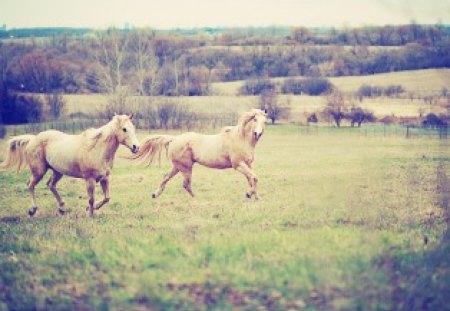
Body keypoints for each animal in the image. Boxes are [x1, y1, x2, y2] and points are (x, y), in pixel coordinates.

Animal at [0, 114, 140, 217]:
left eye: (133, 128)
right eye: (124, 129)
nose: (136, 147)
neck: (96, 149)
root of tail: (33, 139)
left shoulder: (105, 178)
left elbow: (107, 198)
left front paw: (90, 209)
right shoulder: (90, 179)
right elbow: (91, 199)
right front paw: (90, 214)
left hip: (57, 171)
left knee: (51, 185)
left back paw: (61, 208)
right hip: (39, 171)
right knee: (31, 185)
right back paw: (32, 210)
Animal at [129, 109, 268, 200]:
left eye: (265, 121)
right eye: (255, 119)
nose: (258, 134)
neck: (241, 138)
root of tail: (174, 139)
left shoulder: (248, 164)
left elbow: (251, 179)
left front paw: (256, 197)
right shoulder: (238, 165)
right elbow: (254, 178)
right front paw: (249, 195)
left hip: (178, 167)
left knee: (166, 177)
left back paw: (155, 194)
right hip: (186, 167)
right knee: (186, 184)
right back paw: (197, 198)